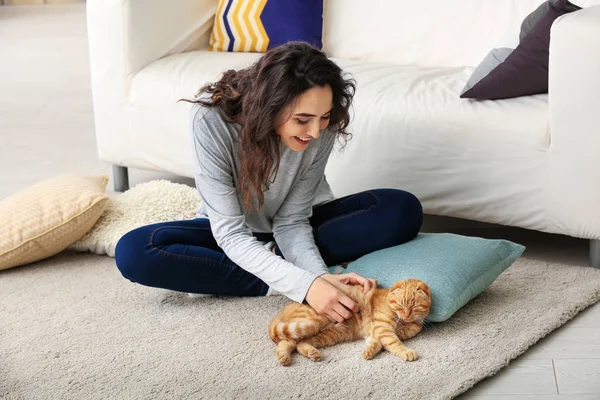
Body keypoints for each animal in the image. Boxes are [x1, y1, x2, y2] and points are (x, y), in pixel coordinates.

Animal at [268, 278, 432, 366]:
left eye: (414, 307)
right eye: (400, 305)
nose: (406, 315)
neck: (405, 322)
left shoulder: (375, 332)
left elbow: (376, 343)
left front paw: (369, 352)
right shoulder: (382, 328)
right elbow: (394, 343)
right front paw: (407, 352)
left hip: (326, 335)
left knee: (295, 343)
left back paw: (305, 354)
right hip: (312, 322)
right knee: (287, 341)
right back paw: (286, 357)